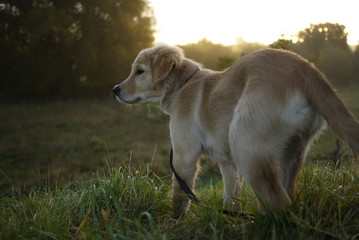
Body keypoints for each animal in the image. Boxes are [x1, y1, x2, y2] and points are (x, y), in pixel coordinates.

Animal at [113, 44, 359, 217]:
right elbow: (231, 194)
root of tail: (306, 69)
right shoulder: (227, 162)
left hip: (245, 144)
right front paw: (229, 216)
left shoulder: (184, 156)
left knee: (278, 201)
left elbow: (180, 196)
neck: (184, 84)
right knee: (287, 195)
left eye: (139, 71)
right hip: (291, 153)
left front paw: (176, 220)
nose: (115, 89)